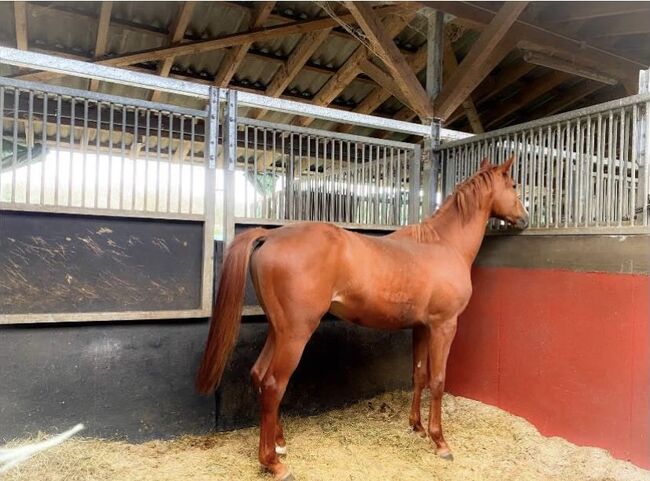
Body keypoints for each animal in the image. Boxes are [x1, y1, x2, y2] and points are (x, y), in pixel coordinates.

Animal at [196, 156, 528, 478]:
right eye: (513, 184)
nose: (525, 218)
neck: (443, 245)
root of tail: (271, 234)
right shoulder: (443, 326)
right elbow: (438, 381)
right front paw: (440, 442)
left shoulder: (422, 328)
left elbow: (419, 375)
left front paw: (417, 427)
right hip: (295, 335)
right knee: (274, 384)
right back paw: (273, 463)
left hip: (278, 331)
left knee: (259, 374)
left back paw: (279, 444)